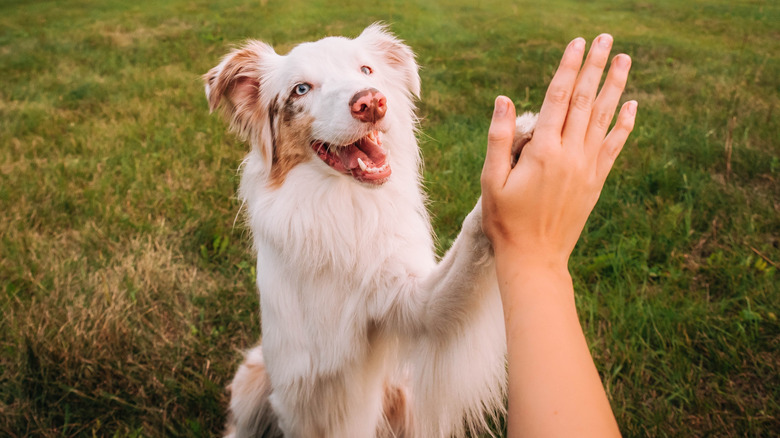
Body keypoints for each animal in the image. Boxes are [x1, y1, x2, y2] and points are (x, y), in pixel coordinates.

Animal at [204, 24, 540, 438]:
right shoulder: (296, 391)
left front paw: (515, 144)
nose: (372, 103)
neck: (341, 206)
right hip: (251, 377)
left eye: (366, 70)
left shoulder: (411, 302)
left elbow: (469, 241)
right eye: (301, 89)